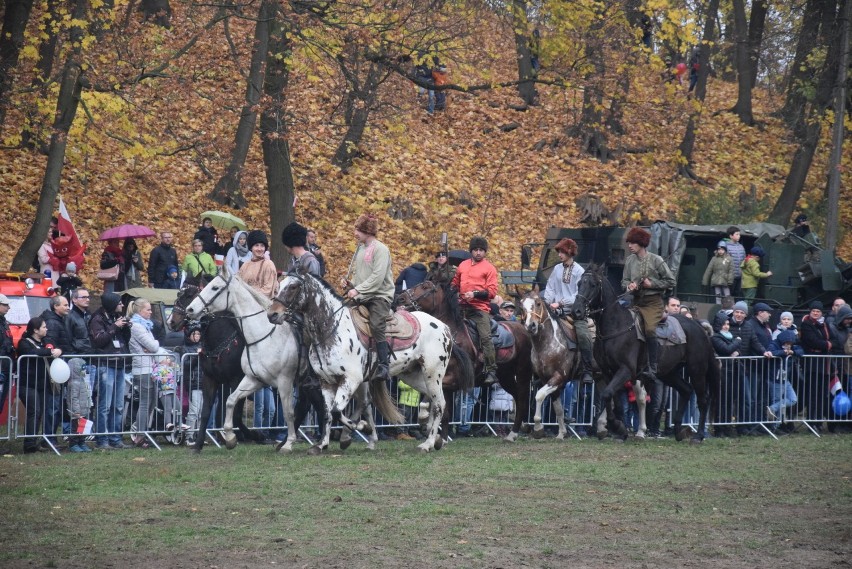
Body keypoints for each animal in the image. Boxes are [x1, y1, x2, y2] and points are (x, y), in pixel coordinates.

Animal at [166, 276, 266, 452]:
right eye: (179, 294)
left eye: (188, 296)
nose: (171, 321)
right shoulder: (211, 379)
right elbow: (207, 412)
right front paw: (198, 445)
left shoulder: (236, 380)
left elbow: (236, 414)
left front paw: (253, 435)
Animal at [185, 266, 308, 452]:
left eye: (215, 287)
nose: (190, 310)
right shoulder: (251, 379)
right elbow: (228, 403)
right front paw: (228, 438)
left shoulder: (283, 382)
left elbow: (288, 412)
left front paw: (282, 442)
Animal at [270, 270, 452, 452]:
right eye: (279, 285)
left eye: (293, 287)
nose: (272, 314)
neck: (332, 329)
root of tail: (444, 326)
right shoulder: (326, 381)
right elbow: (328, 413)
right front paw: (322, 444)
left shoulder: (351, 379)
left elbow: (337, 411)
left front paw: (363, 427)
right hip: (411, 374)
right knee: (432, 399)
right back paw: (429, 429)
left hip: (433, 373)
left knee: (439, 404)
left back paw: (428, 442)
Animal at [394, 278, 532, 440]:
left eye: (425, 286)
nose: (400, 298)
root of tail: (523, 329)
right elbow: (445, 412)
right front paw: (440, 437)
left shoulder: (455, 380)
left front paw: (425, 420)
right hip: (506, 377)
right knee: (518, 397)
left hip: (522, 373)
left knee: (522, 399)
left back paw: (515, 432)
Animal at [572, 264, 720, 442]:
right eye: (579, 283)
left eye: (593, 285)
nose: (576, 311)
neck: (616, 326)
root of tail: (699, 327)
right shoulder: (608, 373)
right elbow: (614, 400)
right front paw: (620, 430)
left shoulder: (626, 370)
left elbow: (608, 395)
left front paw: (617, 427)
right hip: (669, 373)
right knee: (686, 390)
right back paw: (678, 430)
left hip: (697, 370)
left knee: (703, 400)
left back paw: (698, 435)